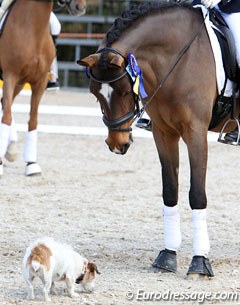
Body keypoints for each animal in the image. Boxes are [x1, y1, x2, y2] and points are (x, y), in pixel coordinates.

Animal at [0, 0, 86, 176]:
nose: (80, 7)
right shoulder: (10, 76)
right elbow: (7, 117)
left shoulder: (38, 82)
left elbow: (33, 121)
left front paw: (31, 163)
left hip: (19, 85)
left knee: (4, 103)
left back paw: (10, 150)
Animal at [78, 1, 239, 276]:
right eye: (95, 94)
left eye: (125, 91)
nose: (117, 144)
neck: (180, 59)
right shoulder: (164, 133)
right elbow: (170, 190)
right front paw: (167, 255)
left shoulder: (195, 133)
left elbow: (197, 194)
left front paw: (200, 261)